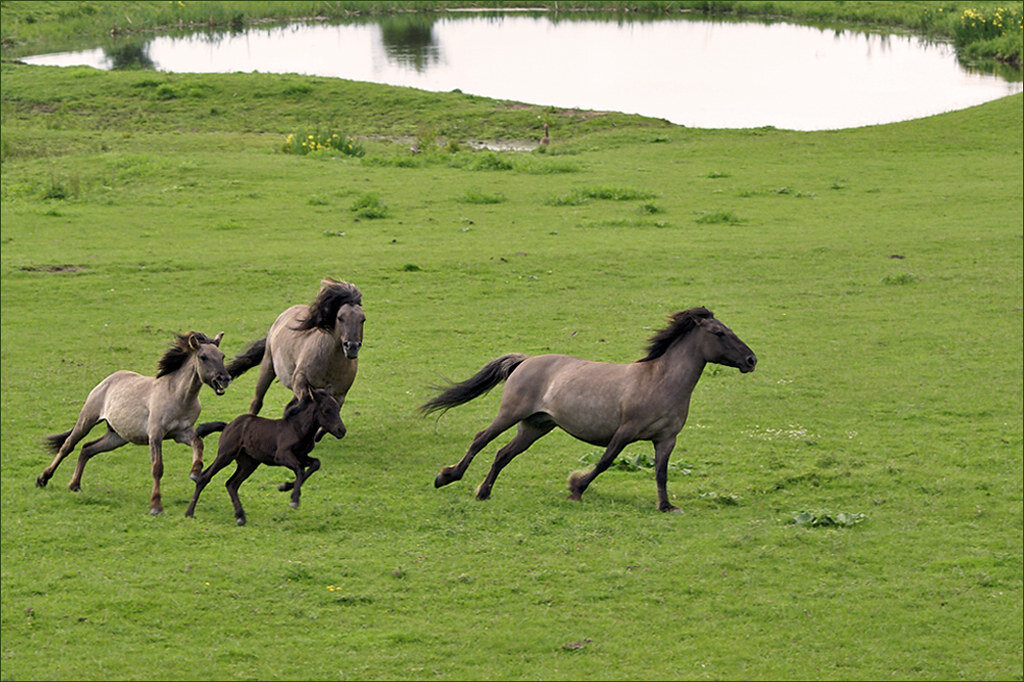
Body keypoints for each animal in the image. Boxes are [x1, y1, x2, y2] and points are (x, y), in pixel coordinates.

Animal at [419, 307, 757, 509]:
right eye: (719, 333)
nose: (751, 360)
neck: (659, 382)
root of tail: (525, 361)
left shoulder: (666, 439)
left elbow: (661, 473)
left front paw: (666, 506)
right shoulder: (625, 431)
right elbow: (605, 461)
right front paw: (576, 487)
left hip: (536, 425)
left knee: (503, 454)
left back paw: (483, 492)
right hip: (510, 414)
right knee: (481, 439)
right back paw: (447, 476)